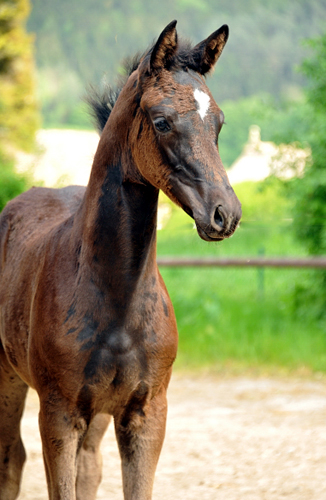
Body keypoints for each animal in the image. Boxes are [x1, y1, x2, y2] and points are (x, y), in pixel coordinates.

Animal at [0, 20, 241, 500]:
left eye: (219, 122)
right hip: (6, 376)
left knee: (89, 467)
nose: (225, 214)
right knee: (10, 459)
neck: (118, 299)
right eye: (162, 121)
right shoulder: (57, 413)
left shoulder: (146, 413)